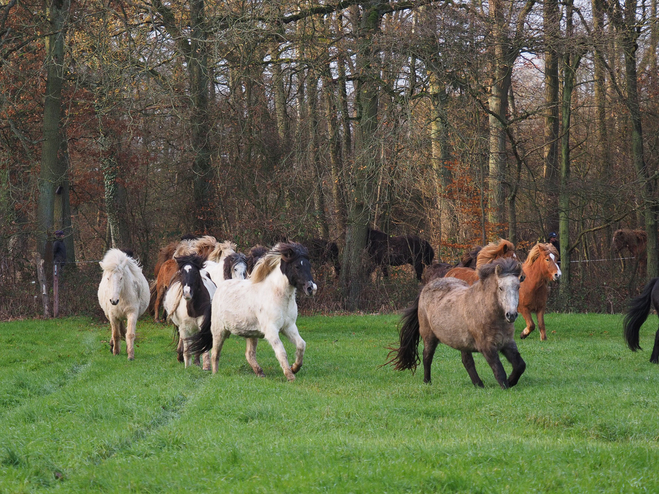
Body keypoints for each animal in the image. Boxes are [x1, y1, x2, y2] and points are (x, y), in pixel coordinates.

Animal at [187, 243, 318, 382]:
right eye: (297, 266)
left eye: (309, 266)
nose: (311, 288)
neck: (277, 296)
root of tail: (218, 289)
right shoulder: (271, 331)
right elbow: (281, 351)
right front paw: (290, 375)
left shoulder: (289, 327)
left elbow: (301, 345)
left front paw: (295, 367)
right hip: (219, 331)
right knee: (215, 353)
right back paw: (215, 374)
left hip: (252, 334)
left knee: (249, 354)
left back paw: (260, 373)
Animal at [386, 258, 524, 390]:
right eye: (501, 288)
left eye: (518, 287)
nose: (511, 315)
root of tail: (425, 288)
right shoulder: (487, 347)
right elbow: (499, 370)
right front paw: (506, 386)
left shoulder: (507, 343)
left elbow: (520, 365)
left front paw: (511, 381)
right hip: (429, 336)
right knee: (427, 357)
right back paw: (427, 381)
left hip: (462, 341)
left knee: (467, 362)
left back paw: (478, 385)